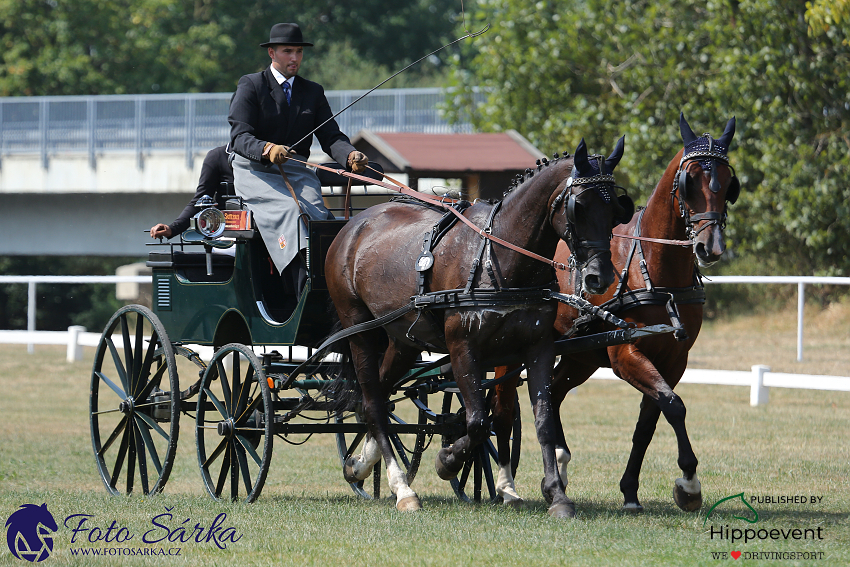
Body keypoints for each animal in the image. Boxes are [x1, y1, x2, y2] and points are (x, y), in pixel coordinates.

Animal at [324, 139, 628, 520]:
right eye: (580, 207)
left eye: (616, 208)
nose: (600, 278)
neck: (499, 256)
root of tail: (355, 223)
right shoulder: (463, 348)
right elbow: (478, 421)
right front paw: (447, 460)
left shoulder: (536, 349)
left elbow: (541, 419)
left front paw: (556, 494)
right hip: (359, 330)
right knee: (374, 402)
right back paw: (402, 489)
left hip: (403, 339)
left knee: (374, 397)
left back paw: (361, 466)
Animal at [486, 113, 740, 512]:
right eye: (689, 180)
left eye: (729, 182)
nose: (709, 246)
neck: (654, 269)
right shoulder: (625, 354)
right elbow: (674, 405)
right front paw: (689, 483)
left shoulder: (674, 359)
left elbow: (650, 422)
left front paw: (632, 491)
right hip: (510, 352)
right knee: (503, 408)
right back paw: (507, 485)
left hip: (580, 356)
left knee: (554, 394)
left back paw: (559, 465)